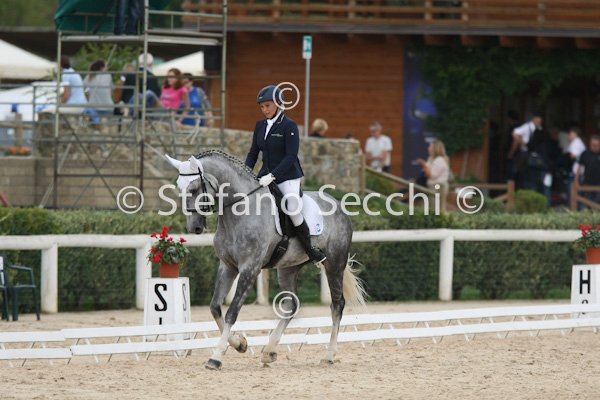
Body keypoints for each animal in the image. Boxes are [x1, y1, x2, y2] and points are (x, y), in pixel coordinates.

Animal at [165, 150, 366, 370]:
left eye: (193, 189)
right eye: (179, 187)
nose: (194, 227)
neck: (239, 210)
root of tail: (337, 204)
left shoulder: (250, 268)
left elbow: (232, 311)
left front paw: (216, 358)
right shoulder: (228, 266)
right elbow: (215, 308)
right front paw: (240, 344)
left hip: (334, 264)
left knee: (337, 304)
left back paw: (329, 355)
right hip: (288, 269)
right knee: (292, 305)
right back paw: (269, 351)